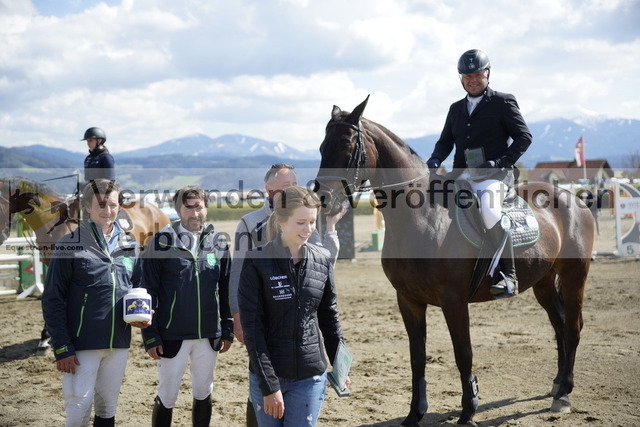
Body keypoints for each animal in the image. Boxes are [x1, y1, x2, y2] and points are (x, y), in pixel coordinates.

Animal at [316, 97, 596, 427]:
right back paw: (557, 383)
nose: (322, 197)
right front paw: (415, 413)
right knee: (559, 324)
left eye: (347, 145)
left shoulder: (454, 300)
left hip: (574, 275)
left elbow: (464, 353)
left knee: (573, 327)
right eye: (322, 147)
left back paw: (563, 394)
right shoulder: (408, 300)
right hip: (543, 281)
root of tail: (575, 198)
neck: (422, 217)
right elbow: (417, 356)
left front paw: (468, 411)